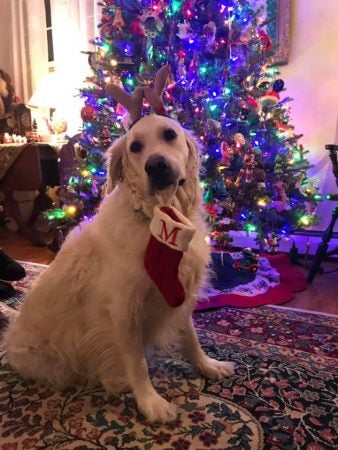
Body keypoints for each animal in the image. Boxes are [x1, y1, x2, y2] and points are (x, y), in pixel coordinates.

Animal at [3, 114, 235, 424]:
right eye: (135, 147)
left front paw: (208, 365)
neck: (156, 218)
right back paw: (115, 380)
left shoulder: (178, 292)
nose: (155, 165)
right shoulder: (124, 311)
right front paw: (149, 401)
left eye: (169, 134)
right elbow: (137, 363)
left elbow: (191, 338)